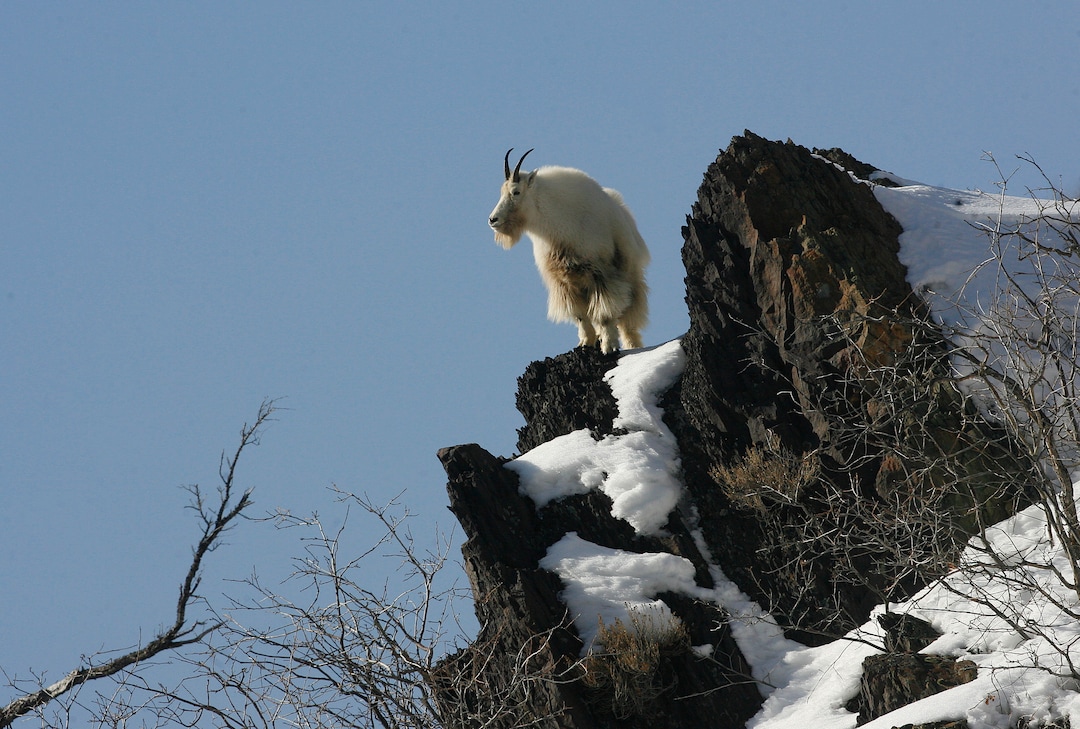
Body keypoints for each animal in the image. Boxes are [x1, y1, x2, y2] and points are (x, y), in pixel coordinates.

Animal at [488, 149, 650, 353]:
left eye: (516, 192)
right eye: (502, 192)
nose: (493, 220)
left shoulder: (601, 275)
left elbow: (605, 314)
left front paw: (609, 346)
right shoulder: (563, 283)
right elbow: (580, 316)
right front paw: (585, 343)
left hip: (631, 276)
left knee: (628, 321)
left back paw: (631, 346)